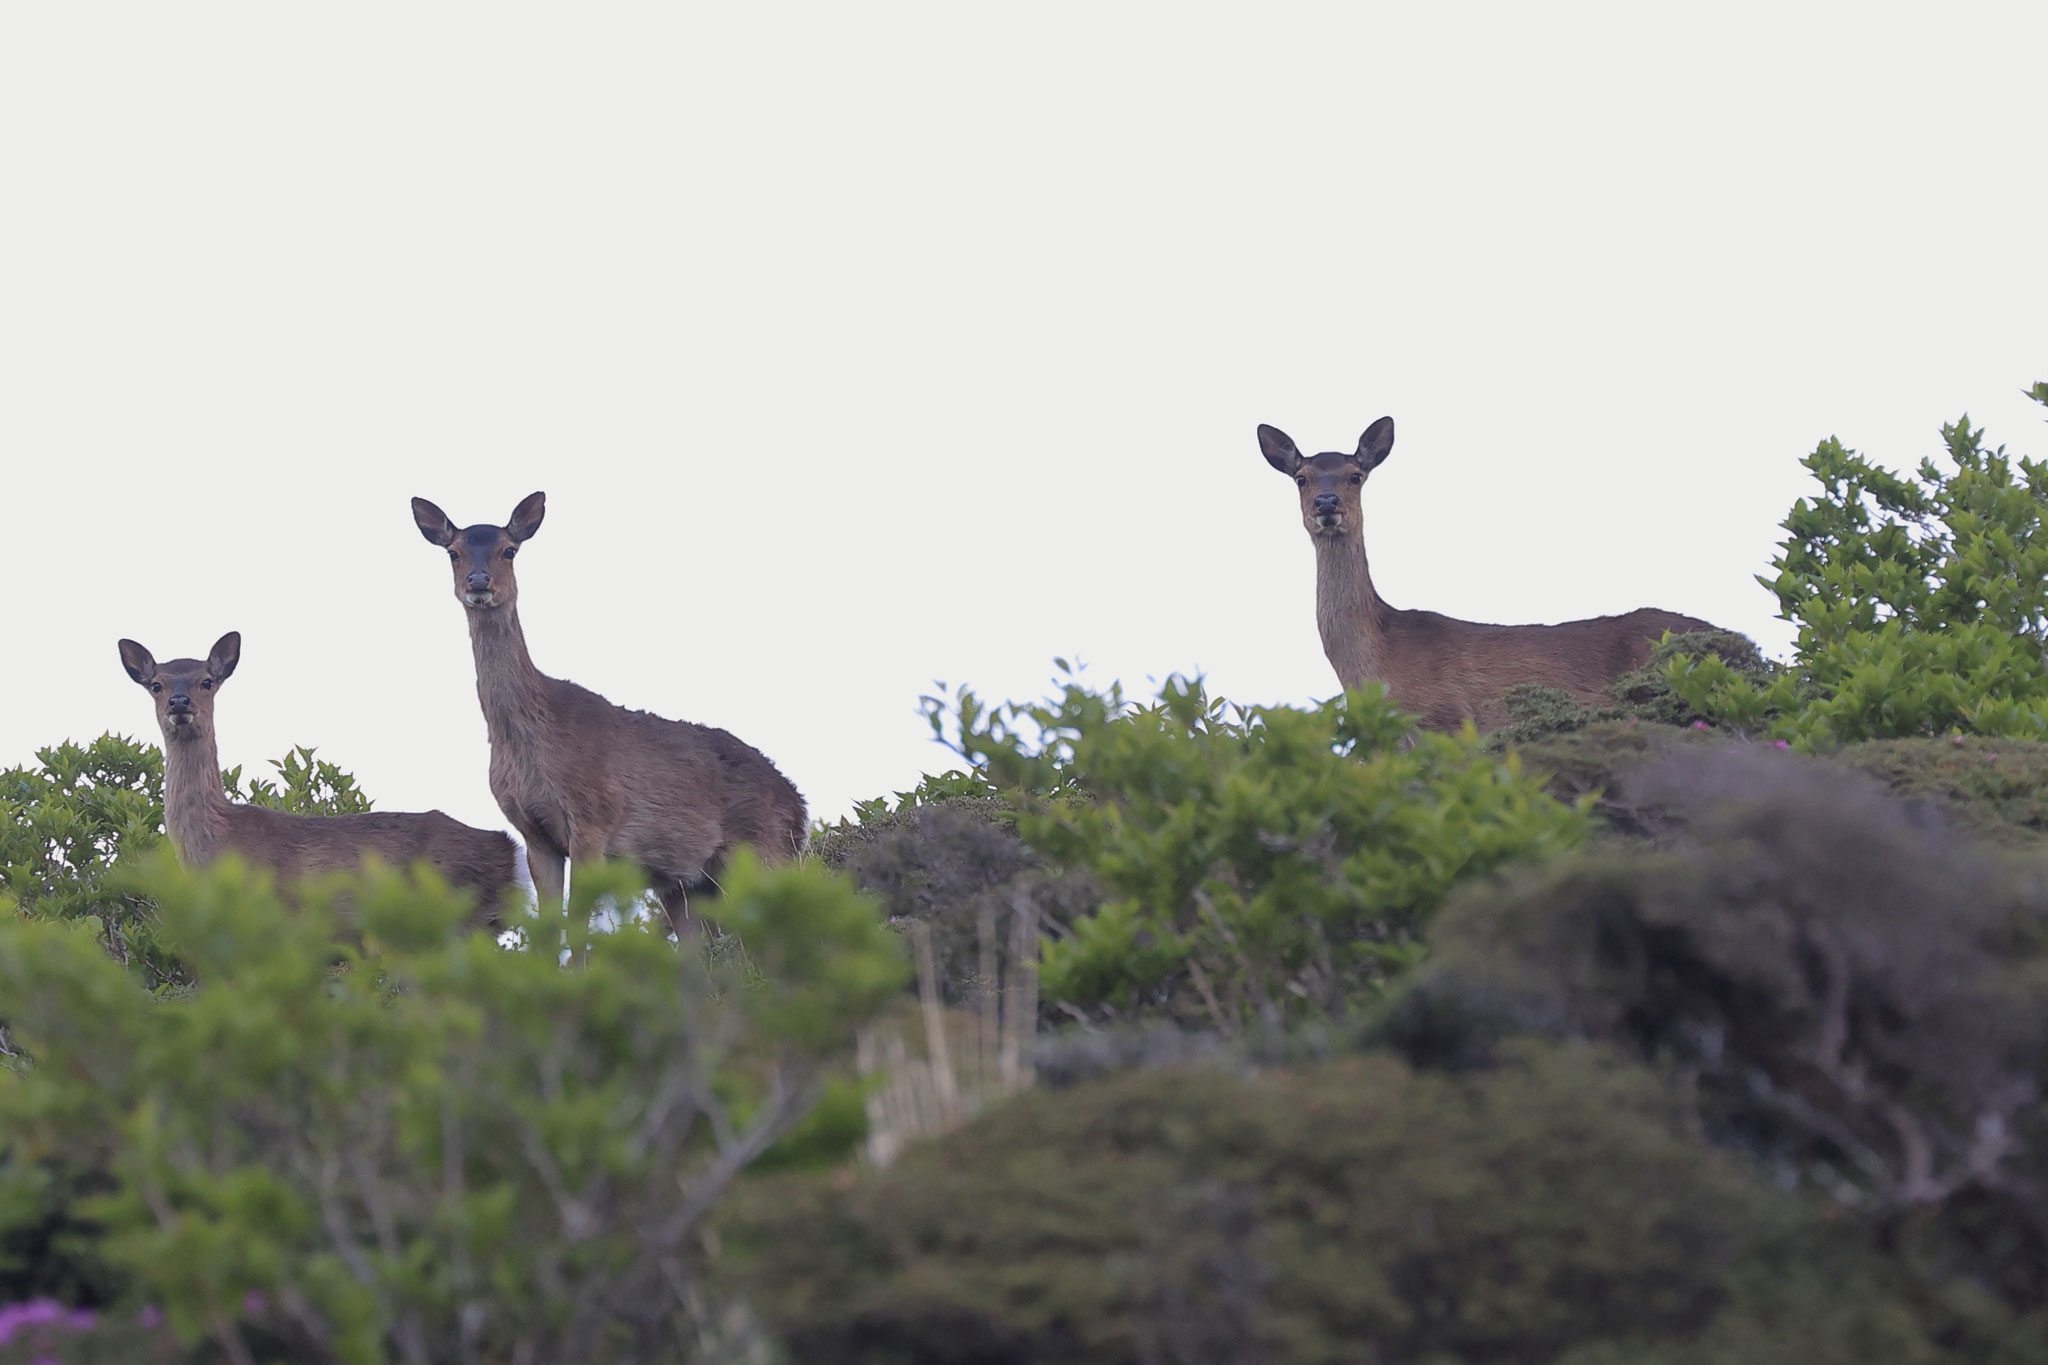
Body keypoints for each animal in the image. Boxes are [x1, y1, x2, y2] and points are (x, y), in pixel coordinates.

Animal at [410, 491, 808, 930]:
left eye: (509, 550)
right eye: (454, 552)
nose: (479, 582)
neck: (522, 743)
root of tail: (801, 808)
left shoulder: (593, 821)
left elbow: (576, 927)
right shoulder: (534, 836)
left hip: (766, 850)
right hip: (687, 885)